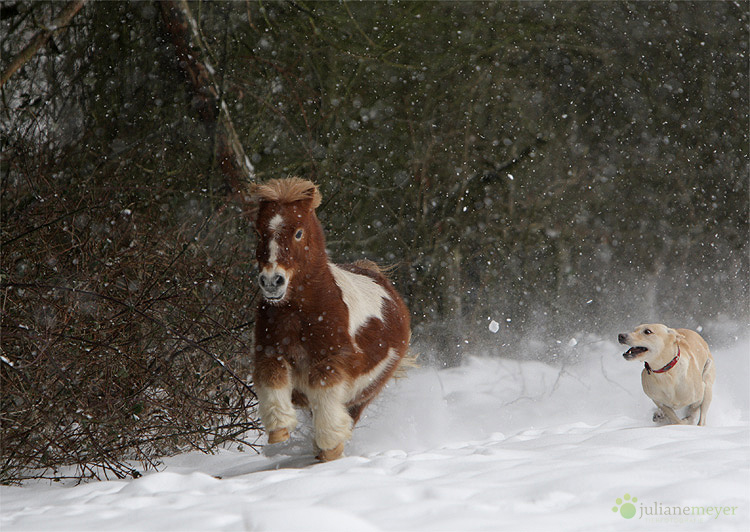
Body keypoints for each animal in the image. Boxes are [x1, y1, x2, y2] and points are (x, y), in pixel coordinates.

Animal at [251, 177, 412, 460]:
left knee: (349, 412)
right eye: (259, 233)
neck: (298, 313)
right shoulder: (269, 352)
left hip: (367, 391)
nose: (271, 281)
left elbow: (324, 390)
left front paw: (330, 445)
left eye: (298, 232)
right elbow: (272, 378)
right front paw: (279, 429)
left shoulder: (334, 360)